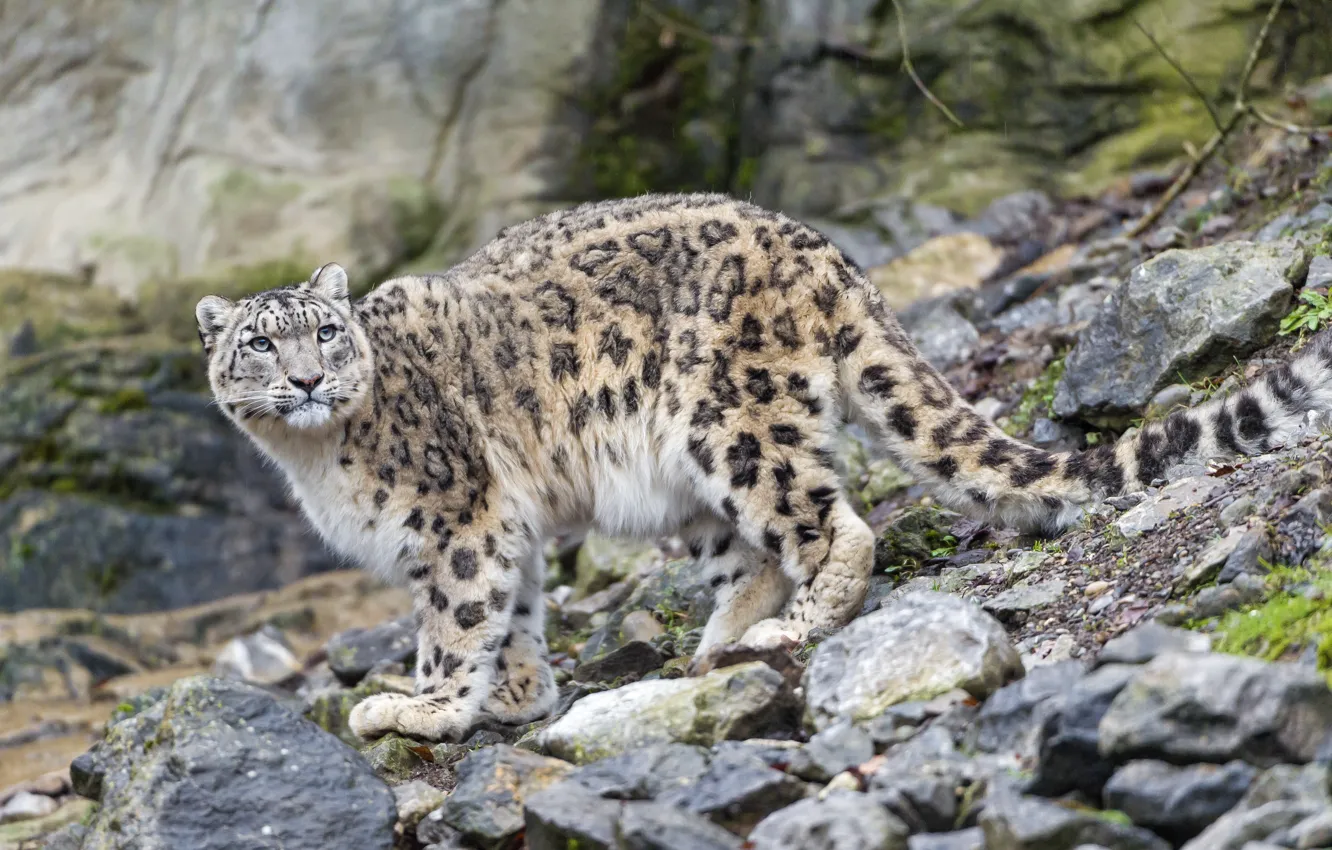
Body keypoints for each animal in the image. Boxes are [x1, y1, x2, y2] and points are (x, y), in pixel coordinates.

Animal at [195, 192, 1332, 742]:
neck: (314, 458)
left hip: (732, 417)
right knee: (750, 552)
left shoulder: (457, 516)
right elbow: (511, 611)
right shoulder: (499, 521)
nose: (306, 379)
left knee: (830, 522)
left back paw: (795, 626)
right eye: (259, 343)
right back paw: (723, 645)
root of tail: (817, 246)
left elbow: (456, 617)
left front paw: (418, 705)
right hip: (682, 472)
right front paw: (514, 696)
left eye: (324, 332)